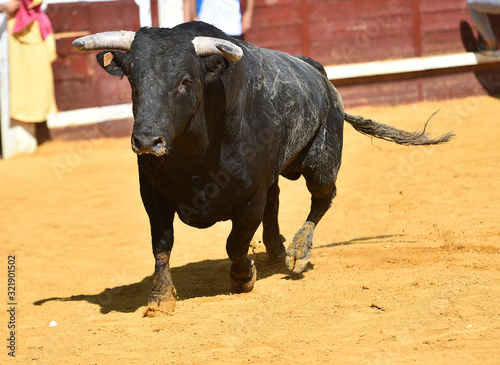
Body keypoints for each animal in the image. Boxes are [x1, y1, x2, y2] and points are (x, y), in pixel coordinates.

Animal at [74, 21, 454, 314]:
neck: (194, 153)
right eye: (132, 80)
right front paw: (160, 297)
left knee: (323, 197)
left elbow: (236, 242)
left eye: (185, 81)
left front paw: (244, 277)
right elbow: (162, 244)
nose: (147, 141)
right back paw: (277, 248)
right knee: (277, 200)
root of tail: (320, 75)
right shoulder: (153, 196)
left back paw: (299, 251)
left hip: (323, 159)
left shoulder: (249, 197)